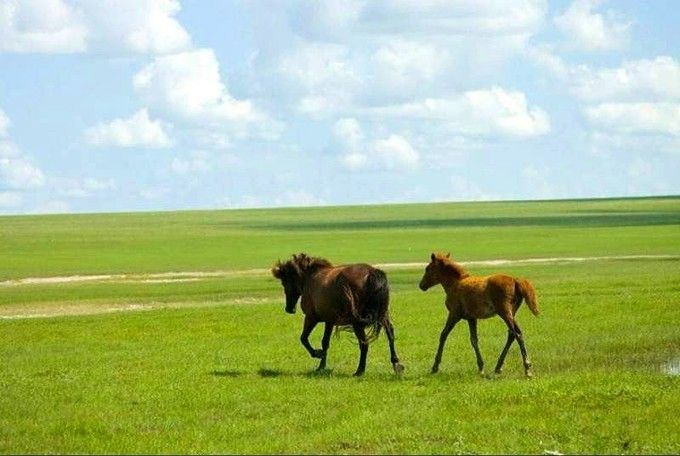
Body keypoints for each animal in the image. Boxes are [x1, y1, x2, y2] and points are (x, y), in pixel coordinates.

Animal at [272, 253, 404, 378]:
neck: (310, 277)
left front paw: (318, 354)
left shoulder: (311, 317)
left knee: (364, 343)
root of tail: (372, 273)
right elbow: (325, 342)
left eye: (284, 282)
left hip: (357, 323)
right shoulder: (329, 321)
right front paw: (321, 366)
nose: (289, 309)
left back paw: (359, 371)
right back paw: (396, 364)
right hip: (383, 315)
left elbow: (303, 338)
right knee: (390, 335)